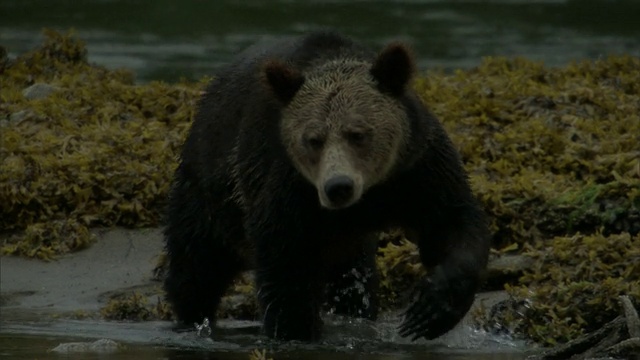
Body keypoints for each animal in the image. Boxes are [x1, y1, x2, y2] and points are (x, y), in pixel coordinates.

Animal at [161, 30, 490, 340]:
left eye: (357, 133)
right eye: (313, 139)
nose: (338, 186)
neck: (368, 198)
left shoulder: (416, 169)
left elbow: (451, 222)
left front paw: (431, 311)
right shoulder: (286, 188)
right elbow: (286, 270)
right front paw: (294, 330)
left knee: (353, 280)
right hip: (209, 194)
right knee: (195, 268)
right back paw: (192, 317)